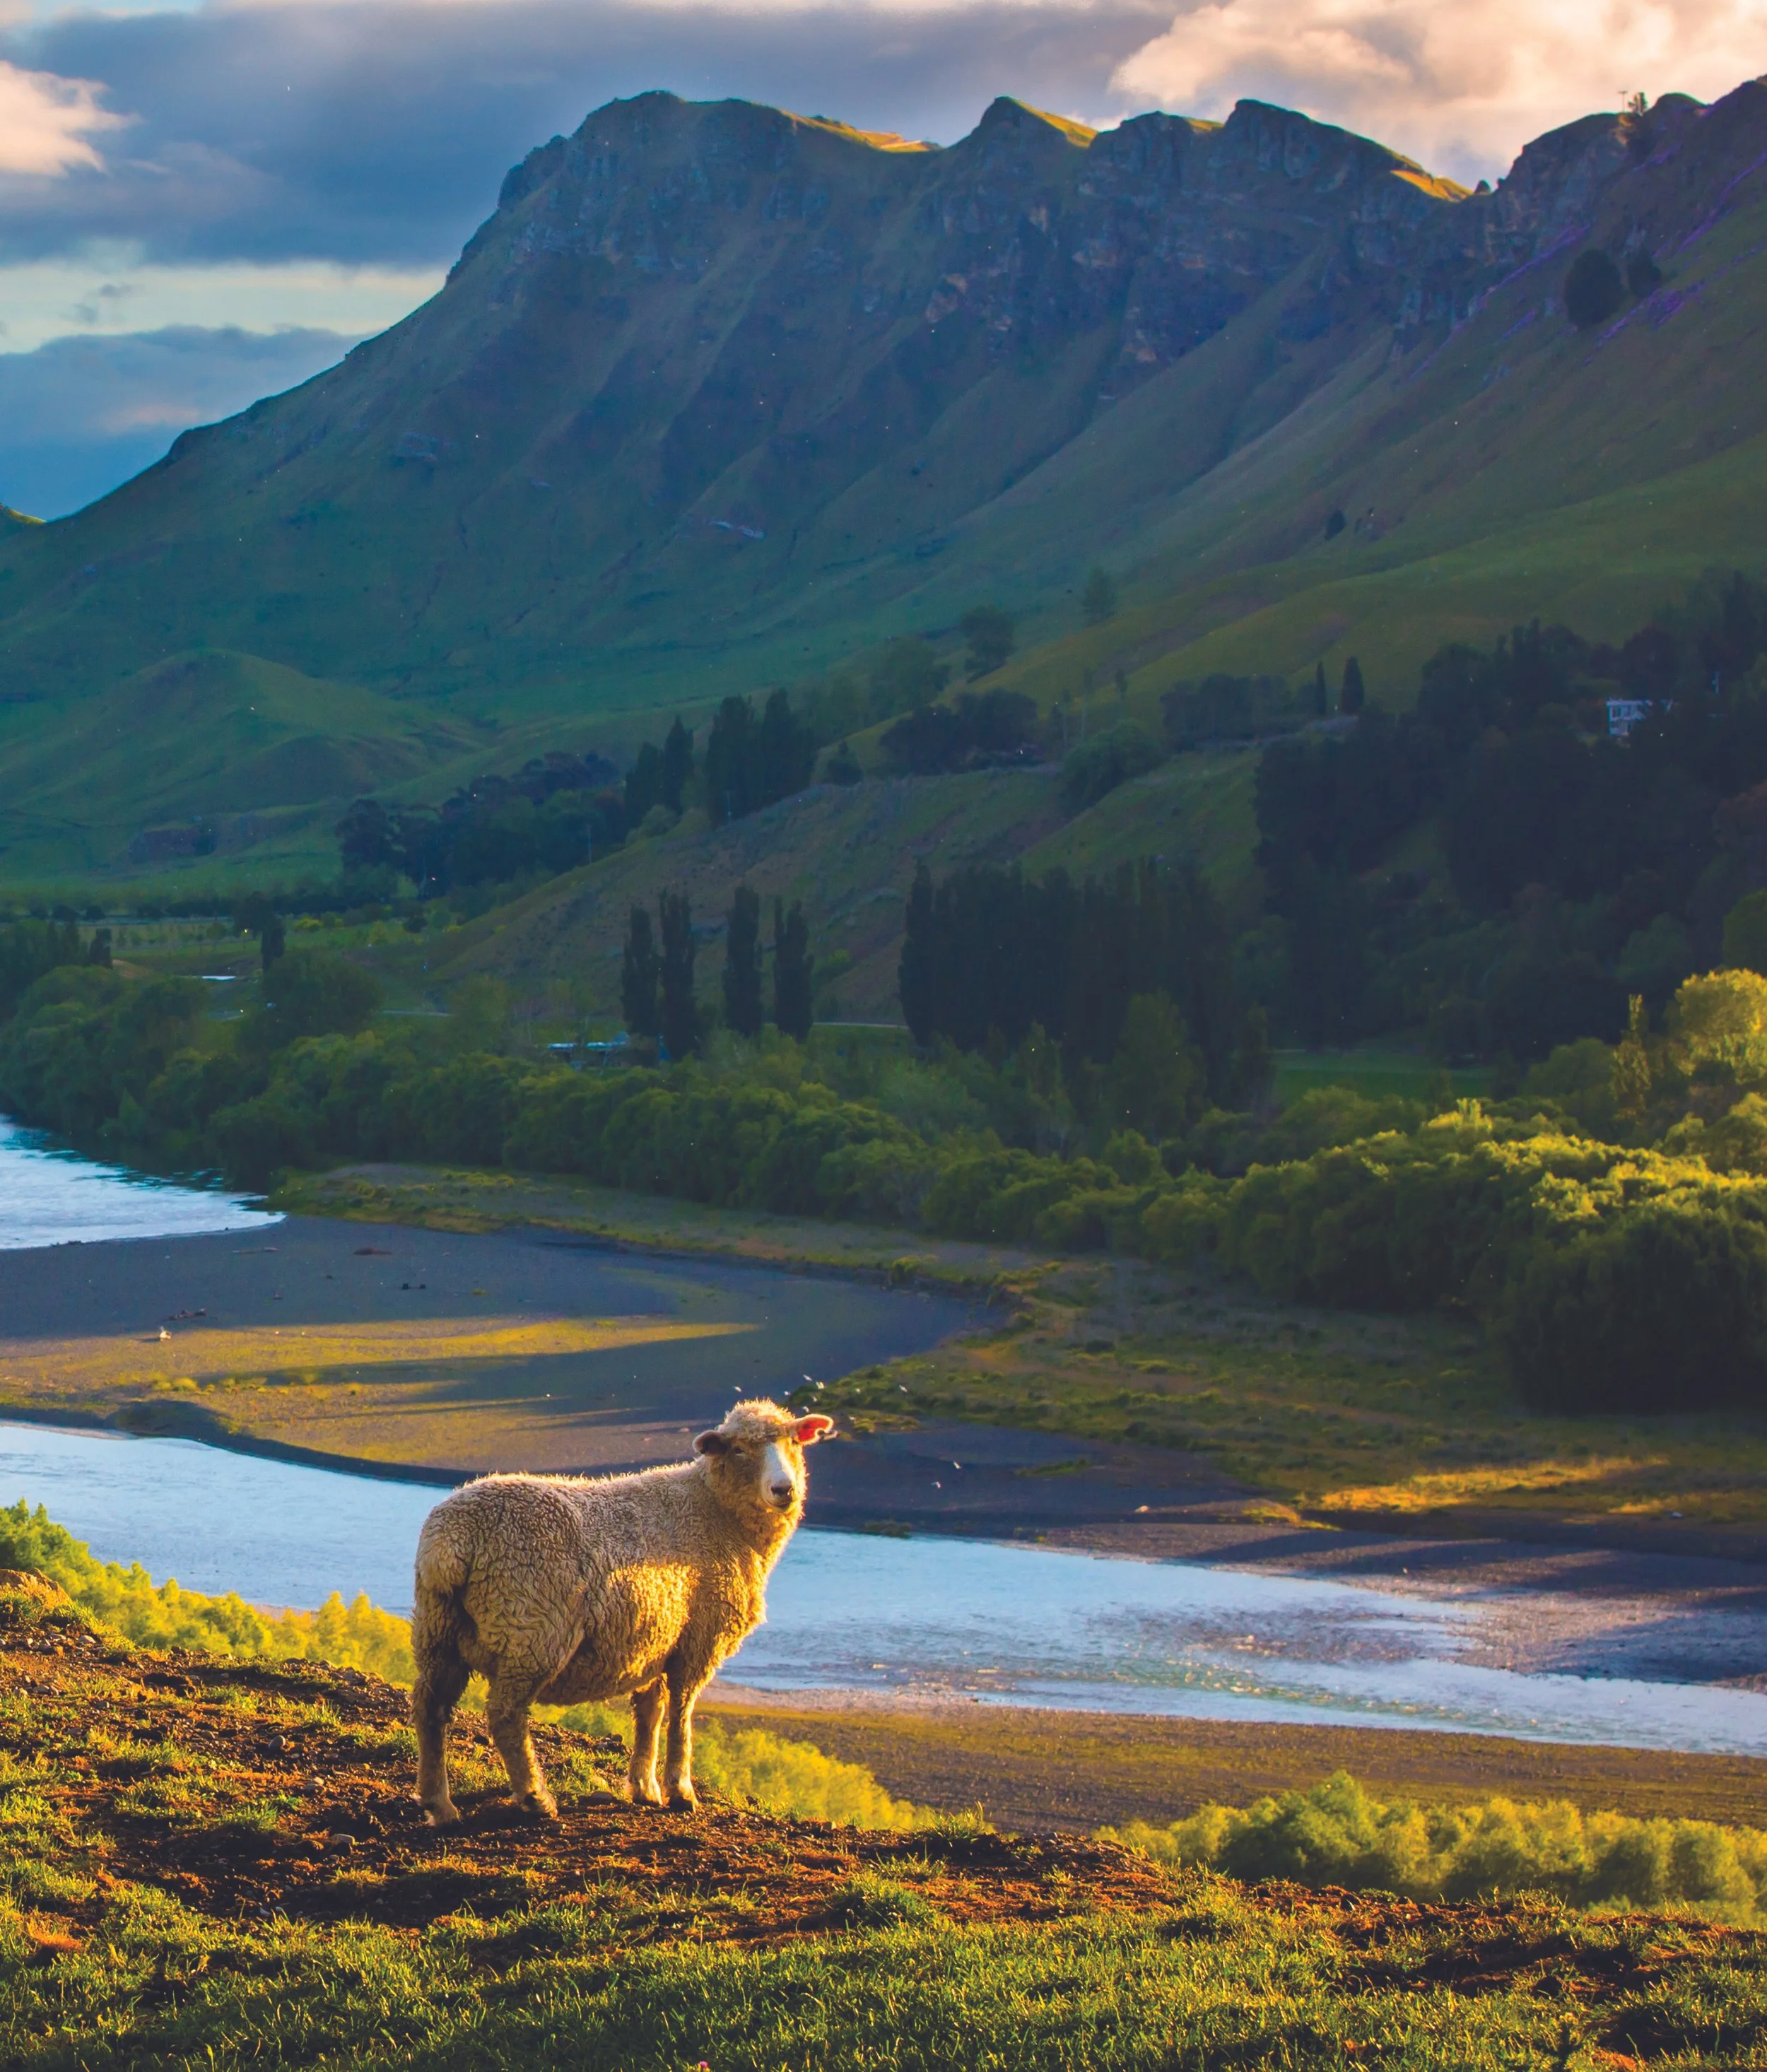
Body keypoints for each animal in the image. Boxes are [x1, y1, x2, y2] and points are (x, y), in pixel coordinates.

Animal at [410, 1397, 834, 1822]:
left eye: (794, 1442)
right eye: (740, 1449)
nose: (784, 1489)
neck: (715, 1509)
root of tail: (453, 1540)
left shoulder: (658, 1644)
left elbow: (650, 1714)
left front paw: (645, 1788)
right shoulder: (699, 1641)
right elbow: (681, 1715)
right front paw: (681, 1790)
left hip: (439, 1627)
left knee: (431, 1707)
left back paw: (439, 1804)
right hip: (531, 1630)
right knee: (505, 1714)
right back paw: (535, 1797)